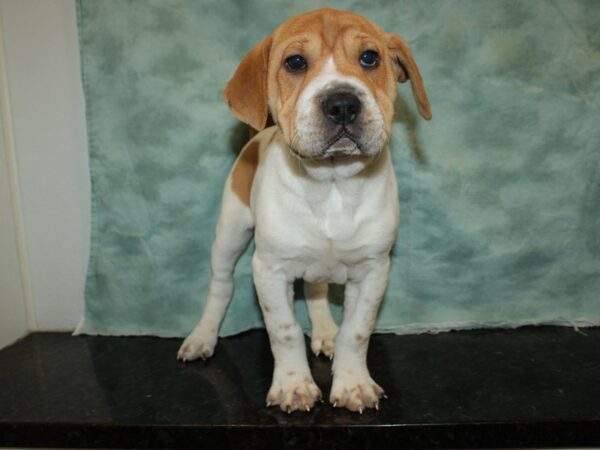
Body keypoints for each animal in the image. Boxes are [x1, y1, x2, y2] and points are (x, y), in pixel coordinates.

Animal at [178, 7, 432, 414]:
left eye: (370, 58)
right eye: (295, 62)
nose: (342, 103)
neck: (332, 186)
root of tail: (256, 137)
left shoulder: (374, 270)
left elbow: (357, 332)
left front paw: (353, 383)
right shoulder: (268, 270)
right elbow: (284, 333)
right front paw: (294, 386)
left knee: (315, 288)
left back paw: (325, 332)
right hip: (230, 234)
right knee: (221, 285)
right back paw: (202, 337)